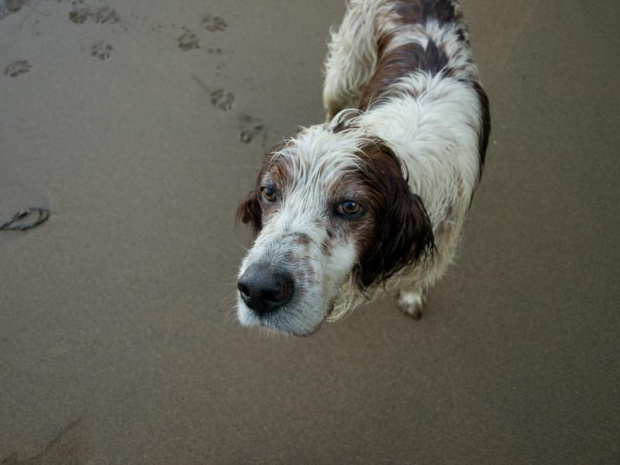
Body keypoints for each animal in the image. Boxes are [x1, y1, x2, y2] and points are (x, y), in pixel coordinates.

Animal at [236, 0, 490, 334]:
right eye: (269, 192)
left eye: (351, 206)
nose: (258, 289)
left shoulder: (443, 237)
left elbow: (419, 277)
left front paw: (411, 295)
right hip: (343, 74)